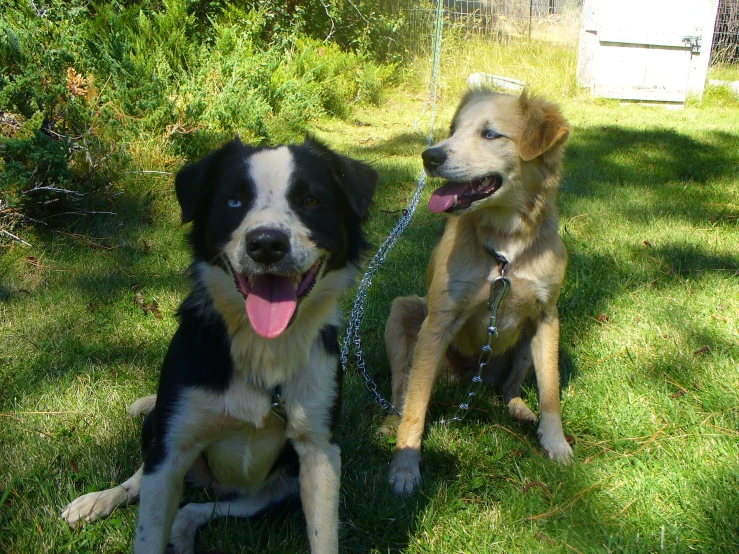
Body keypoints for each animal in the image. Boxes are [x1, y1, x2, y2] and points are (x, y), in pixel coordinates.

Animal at [60, 138, 378, 552]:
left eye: (310, 200)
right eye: (233, 201)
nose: (266, 244)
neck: (261, 349)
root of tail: (215, 484)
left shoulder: (319, 452)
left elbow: (324, 536)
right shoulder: (171, 449)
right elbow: (148, 528)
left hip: (276, 493)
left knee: (196, 509)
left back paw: (182, 533)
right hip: (158, 427)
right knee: (140, 478)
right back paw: (99, 500)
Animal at [384, 88, 576, 494]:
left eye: (490, 134)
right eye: (454, 130)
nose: (429, 156)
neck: (507, 248)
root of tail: (472, 378)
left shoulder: (547, 316)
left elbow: (551, 390)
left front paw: (555, 443)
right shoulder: (439, 320)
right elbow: (416, 403)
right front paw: (405, 466)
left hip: (525, 344)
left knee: (510, 387)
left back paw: (519, 408)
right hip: (403, 312)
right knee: (400, 390)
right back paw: (389, 423)